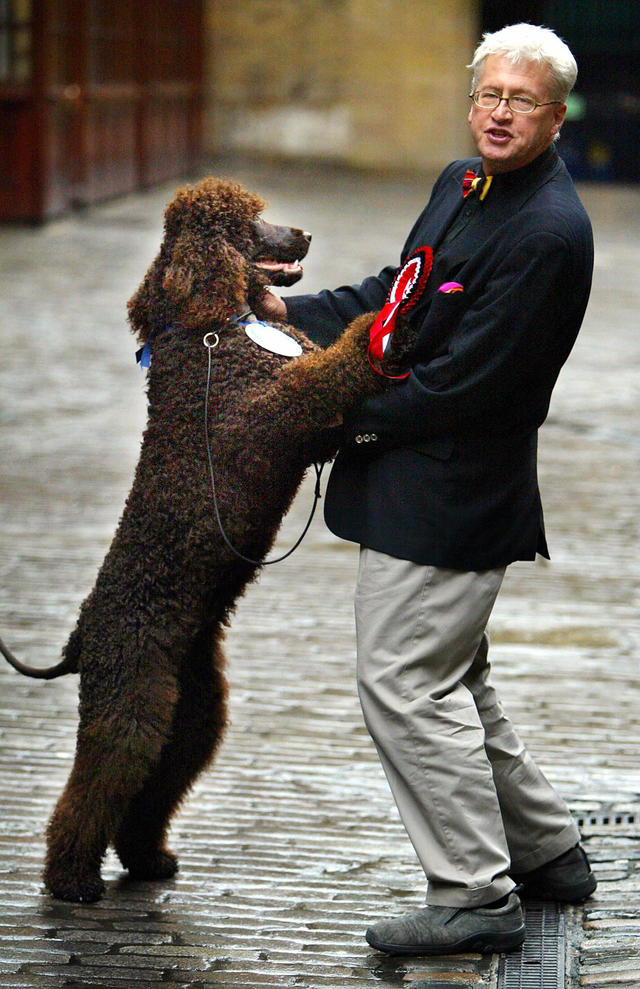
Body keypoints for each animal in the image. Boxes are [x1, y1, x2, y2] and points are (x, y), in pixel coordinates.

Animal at [0, 178, 408, 904]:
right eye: (250, 222)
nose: (303, 234)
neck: (213, 331)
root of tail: (82, 635)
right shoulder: (278, 412)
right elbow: (330, 370)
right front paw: (377, 328)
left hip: (190, 710)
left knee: (156, 783)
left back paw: (146, 857)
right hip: (131, 699)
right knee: (99, 780)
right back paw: (71, 879)